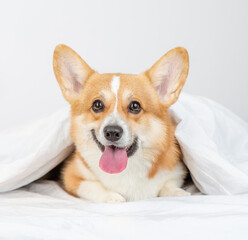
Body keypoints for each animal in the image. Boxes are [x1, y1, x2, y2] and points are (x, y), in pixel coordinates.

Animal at [53, 44, 190, 202]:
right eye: (97, 105)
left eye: (135, 106)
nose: (112, 132)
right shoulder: (72, 176)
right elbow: (91, 186)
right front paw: (113, 197)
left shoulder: (177, 171)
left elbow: (168, 185)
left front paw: (178, 193)